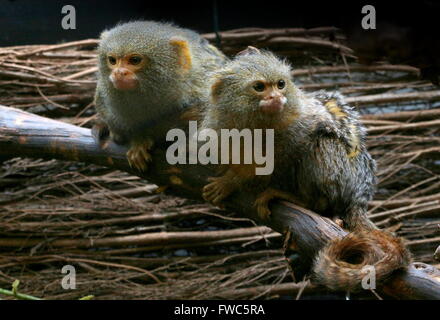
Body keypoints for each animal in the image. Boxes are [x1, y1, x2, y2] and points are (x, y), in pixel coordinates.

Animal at [95, 21, 227, 171]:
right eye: (112, 60)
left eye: (135, 60)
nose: (119, 72)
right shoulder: (103, 100)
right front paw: (139, 142)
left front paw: (186, 144)